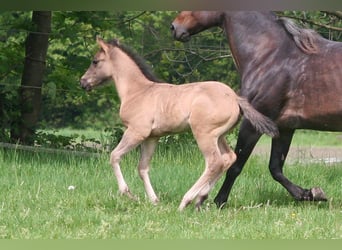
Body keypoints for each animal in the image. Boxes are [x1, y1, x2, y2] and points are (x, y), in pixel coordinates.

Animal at [80, 38, 278, 211]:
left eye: (95, 61)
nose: (82, 82)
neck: (137, 91)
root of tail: (234, 97)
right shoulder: (152, 137)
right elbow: (142, 168)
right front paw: (154, 200)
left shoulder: (136, 131)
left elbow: (114, 156)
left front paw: (128, 194)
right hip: (219, 135)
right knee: (229, 158)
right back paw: (200, 199)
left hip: (203, 133)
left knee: (215, 161)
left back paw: (186, 201)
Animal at [171, 11, 342, 207]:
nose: (174, 27)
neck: (270, 56)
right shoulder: (284, 127)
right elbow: (275, 168)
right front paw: (310, 194)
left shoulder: (253, 123)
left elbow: (236, 165)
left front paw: (219, 202)